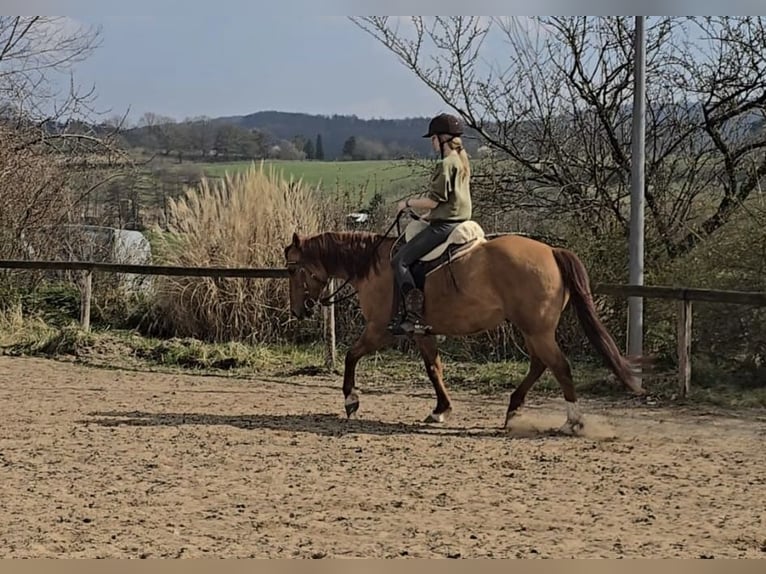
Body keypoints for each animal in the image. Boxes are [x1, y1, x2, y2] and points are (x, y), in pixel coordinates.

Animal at [283, 213, 646, 434]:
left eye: (292, 269)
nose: (299, 310)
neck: (376, 265)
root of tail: (552, 251)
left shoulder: (379, 330)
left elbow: (351, 356)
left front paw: (351, 401)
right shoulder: (421, 332)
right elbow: (434, 369)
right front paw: (440, 410)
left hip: (537, 330)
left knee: (559, 366)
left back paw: (573, 421)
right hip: (532, 329)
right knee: (541, 364)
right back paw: (513, 410)